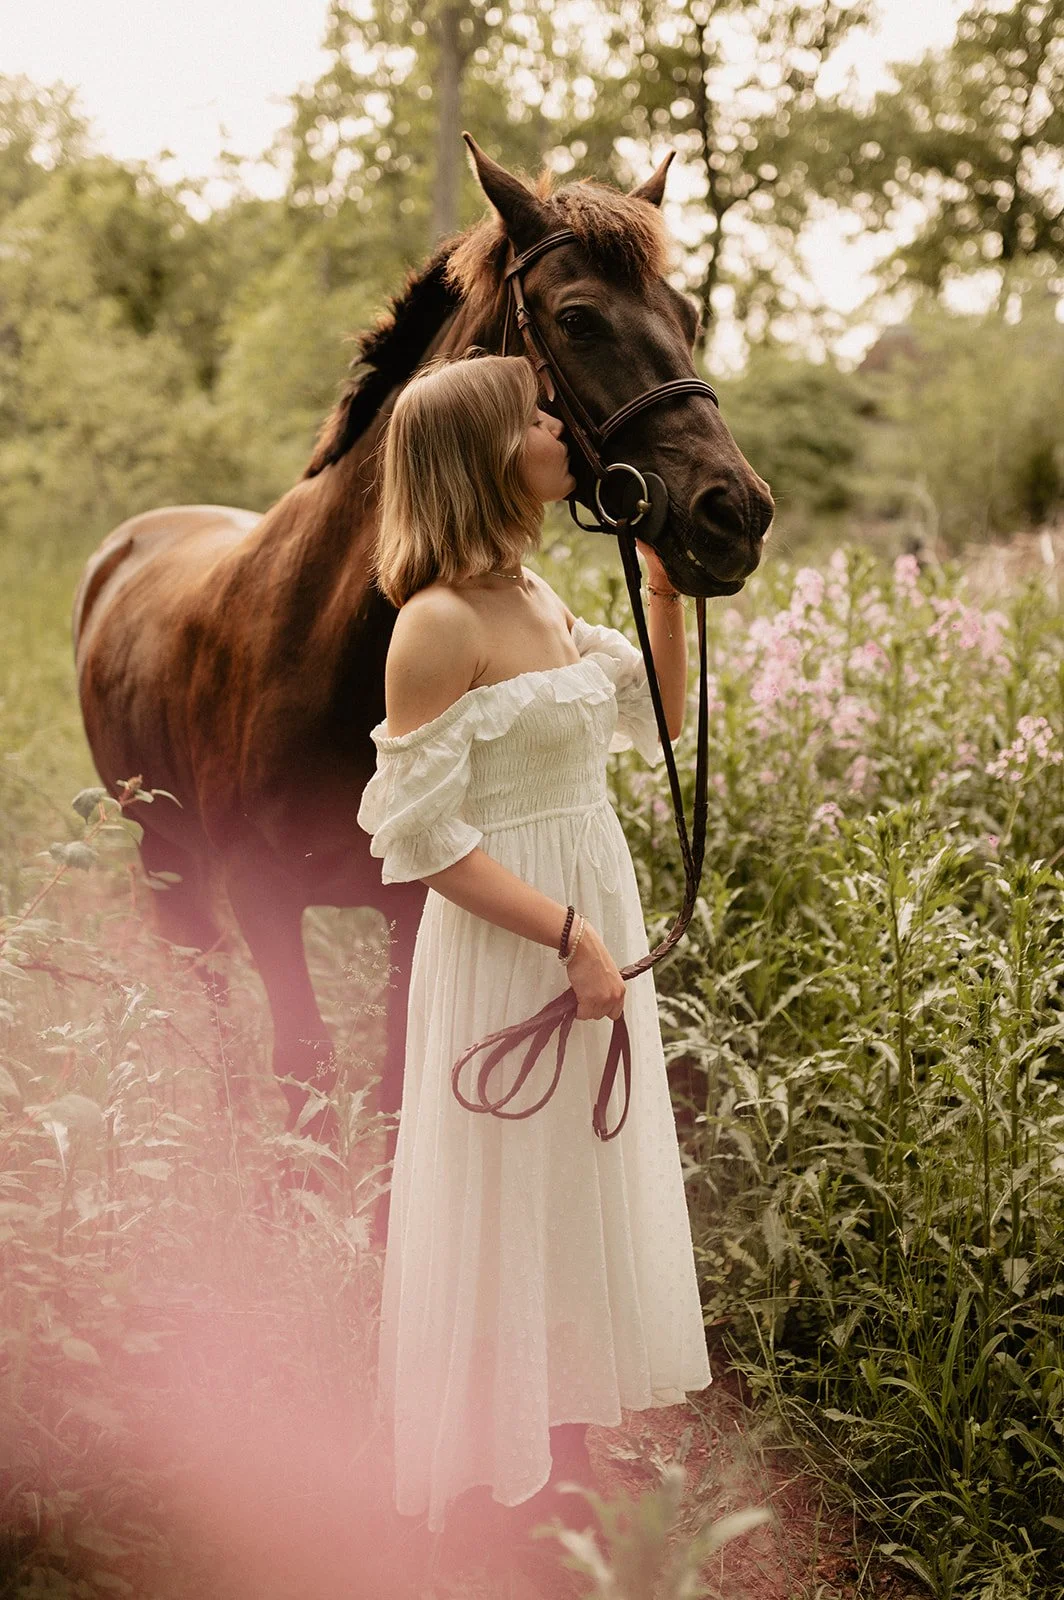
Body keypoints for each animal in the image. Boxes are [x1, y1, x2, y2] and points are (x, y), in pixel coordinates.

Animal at [73, 136, 774, 1169]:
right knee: (210, 1012)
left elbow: (398, 1089)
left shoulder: (416, 903)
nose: (736, 514)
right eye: (578, 317)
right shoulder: (264, 901)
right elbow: (307, 1083)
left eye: (687, 314)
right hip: (168, 862)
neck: (333, 652)